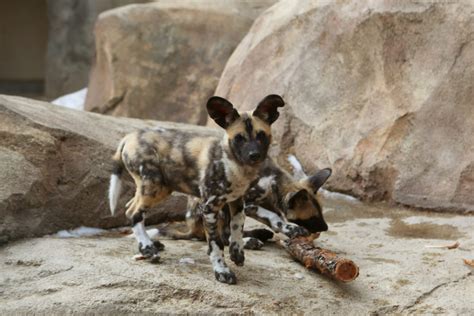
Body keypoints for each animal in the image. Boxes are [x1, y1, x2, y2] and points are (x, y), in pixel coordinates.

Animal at [109, 94, 284, 284]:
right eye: (239, 138)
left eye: (261, 135)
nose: (254, 155)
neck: (236, 166)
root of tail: (129, 137)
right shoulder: (210, 208)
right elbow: (216, 244)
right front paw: (222, 271)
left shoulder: (237, 202)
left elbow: (237, 227)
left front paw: (237, 253)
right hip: (155, 186)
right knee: (134, 213)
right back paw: (148, 249)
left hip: (158, 189)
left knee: (130, 209)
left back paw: (149, 246)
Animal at [165, 156, 332, 247]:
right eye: (312, 217)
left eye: (320, 213)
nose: (325, 228)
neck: (273, 184)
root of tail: (190, 227)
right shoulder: (247, 205)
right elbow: (274, 217)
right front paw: (291, 229)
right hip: (219, 206)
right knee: (223, 237)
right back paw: (249, 241)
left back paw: (258, 234)